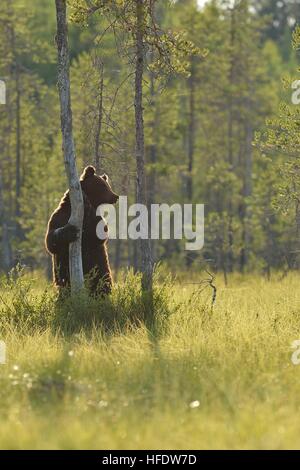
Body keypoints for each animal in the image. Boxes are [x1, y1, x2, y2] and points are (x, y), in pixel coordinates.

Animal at [45, 167, 118, 296]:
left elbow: (99, 235)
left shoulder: (94, 222)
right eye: (103, 185)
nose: (115, 196)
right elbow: (51, 241)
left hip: (102, 269)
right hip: (64, 277)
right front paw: (70, 231)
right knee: (64, 287)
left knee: (103, 284)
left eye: (107, 185)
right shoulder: (59, 217)